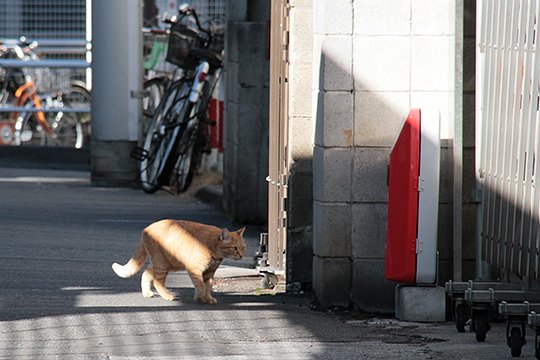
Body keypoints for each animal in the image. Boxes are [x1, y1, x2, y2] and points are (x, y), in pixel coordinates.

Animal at [112, 219, 247, 304]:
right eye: (235, 248)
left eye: (243, 248)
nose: (241, 255)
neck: (213, 247)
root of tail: (145, 229)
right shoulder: (195, 269)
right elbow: (200, 285)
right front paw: (201, 298)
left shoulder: (209, 273)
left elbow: (207, 286)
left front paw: (206, 298)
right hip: (162, 264)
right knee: (157, 282)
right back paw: (167, 296)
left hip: (161, 263)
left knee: (145, 274)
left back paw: (147, 293)